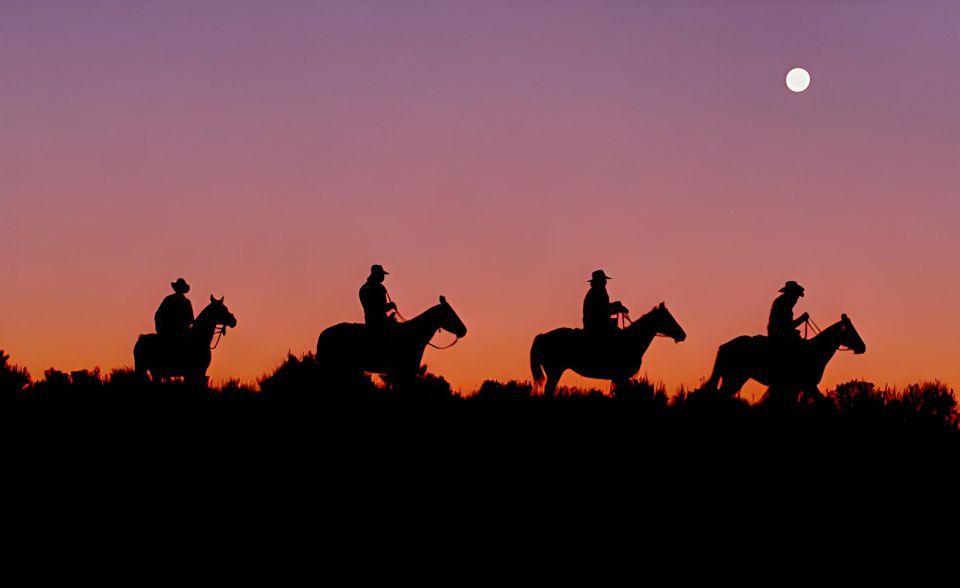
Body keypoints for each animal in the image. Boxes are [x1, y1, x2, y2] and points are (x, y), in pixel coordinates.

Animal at [528, 304, 688, 396]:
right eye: (668, 317)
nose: (683, 334)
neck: (631, 340)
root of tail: (542, 336)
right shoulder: (621, 375)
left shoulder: (618, 377)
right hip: (555, 370)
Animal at [700, 314, 868, 402]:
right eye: (851, 330)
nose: (863, 347)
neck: (814, 351)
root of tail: (725, 346)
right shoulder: (807, 385)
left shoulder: (799, 387)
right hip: (735, 378)